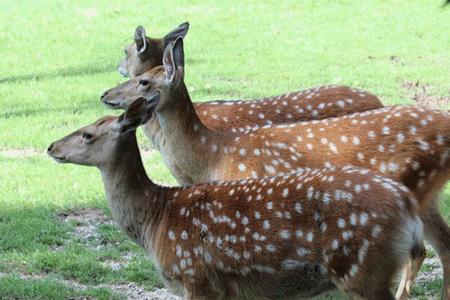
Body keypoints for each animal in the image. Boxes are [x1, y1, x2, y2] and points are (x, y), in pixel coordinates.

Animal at [47, 96, 424, 300]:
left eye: (87, 134)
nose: (51, 147)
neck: (156, 219)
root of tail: (407, 206)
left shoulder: (195, 277)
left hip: (363, 267)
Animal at [101, 37, 450, 298]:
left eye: (143, 80)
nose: (104, 94)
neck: (212, 156)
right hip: (426, 197)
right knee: (439, 245)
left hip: (416, 186)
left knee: (422, 251)